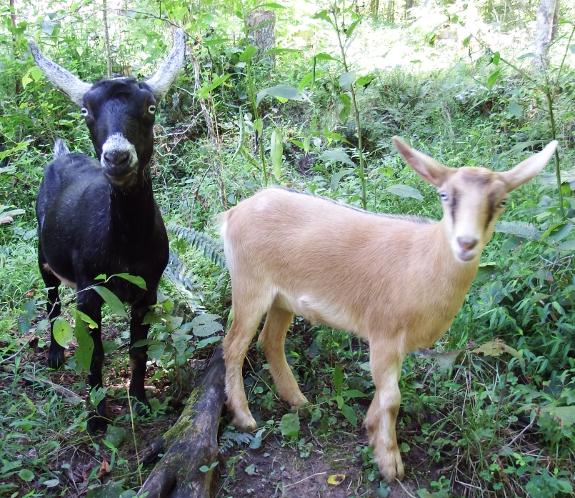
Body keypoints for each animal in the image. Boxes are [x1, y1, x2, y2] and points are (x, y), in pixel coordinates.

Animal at [30, 29, 186, 430]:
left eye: (150, 108)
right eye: (85, 110)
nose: (117, 157)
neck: (125, 248)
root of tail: (61, 155)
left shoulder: (148, 290)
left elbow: (138, 350)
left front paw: (140, 401)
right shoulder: (89, 291)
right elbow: (95, 353)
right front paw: (97, 418)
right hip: (44, 257)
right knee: (52, 299)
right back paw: (54, 355)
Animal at [220, 137, 560, 482]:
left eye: (502, 201)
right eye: (444, 195)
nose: (466, 243)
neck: (420, 261)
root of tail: (233, 213)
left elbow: (386, 396)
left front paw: (371, 428)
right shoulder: (383, 334)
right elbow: (393, 399)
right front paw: (390, 462)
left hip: (281, 300)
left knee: (271, 341)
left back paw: (299, 401)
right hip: (250, 285)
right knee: (234, 344)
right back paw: (245, 417)